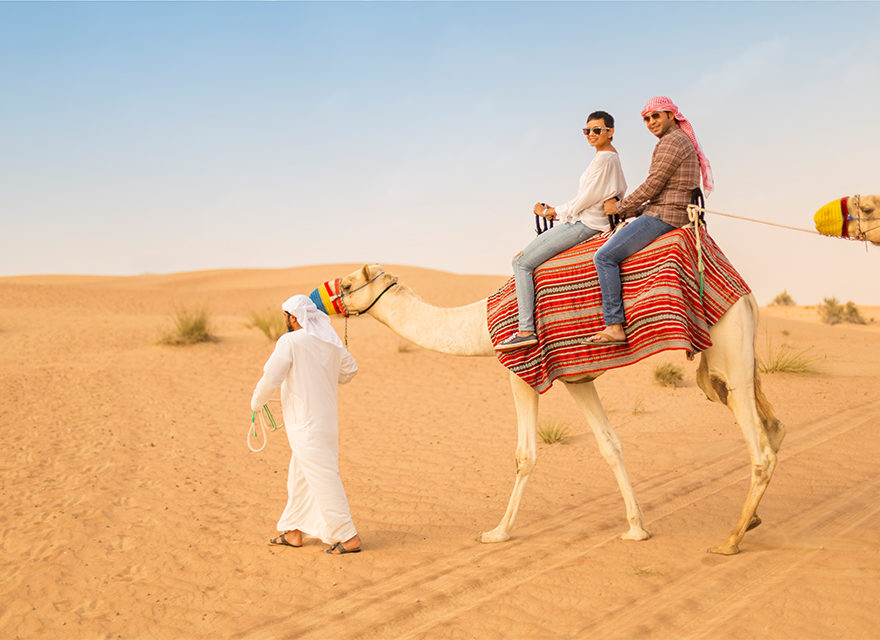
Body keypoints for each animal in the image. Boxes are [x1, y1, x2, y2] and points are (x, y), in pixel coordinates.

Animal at [322, 263, 785, 555]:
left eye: (346, 286)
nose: (320, 295)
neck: (480, 325)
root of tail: (747, 295)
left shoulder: (521, 371)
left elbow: (525, 455)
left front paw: (497, 532)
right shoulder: (576, 378)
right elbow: (610, 444)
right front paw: (637, 528)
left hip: (728, 349)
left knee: (760, 446)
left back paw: (730, 541)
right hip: (725, 365)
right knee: (774, 426)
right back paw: (753, 521)